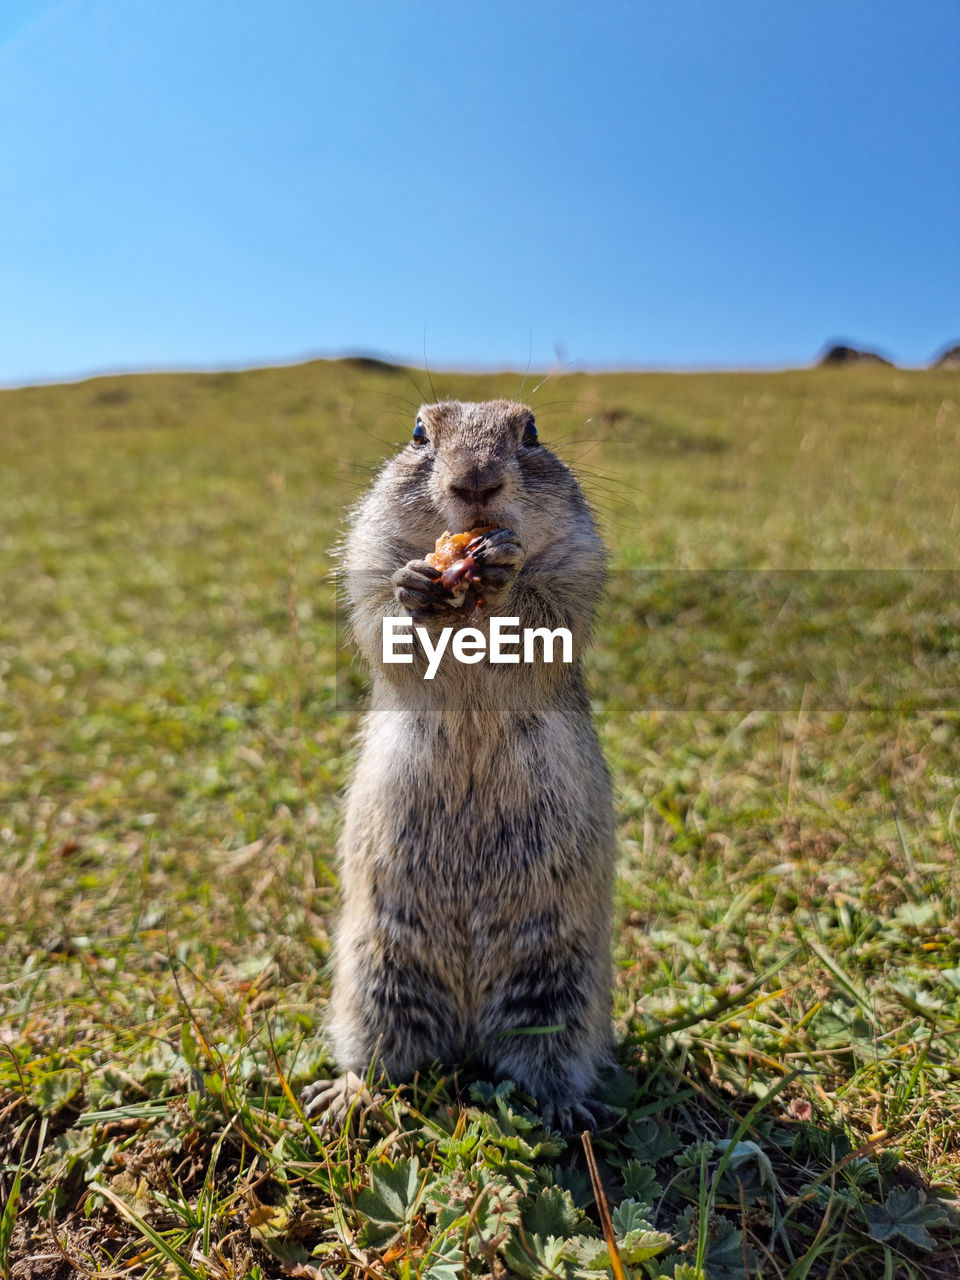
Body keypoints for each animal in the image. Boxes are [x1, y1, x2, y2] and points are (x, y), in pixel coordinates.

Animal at [304, 399, 619, 1131]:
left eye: (531, 432)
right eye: (420, 433)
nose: (476, 481)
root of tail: (471, 1027)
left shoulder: (578, 562)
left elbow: (550, 610)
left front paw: (501, 567)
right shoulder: (367, 551)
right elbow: (378, 611)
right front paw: (416, 585)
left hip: (565, 982)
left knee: (549, 1056)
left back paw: (569, 1108)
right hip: (374, 973)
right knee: (384, 1055)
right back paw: (346, 1094)